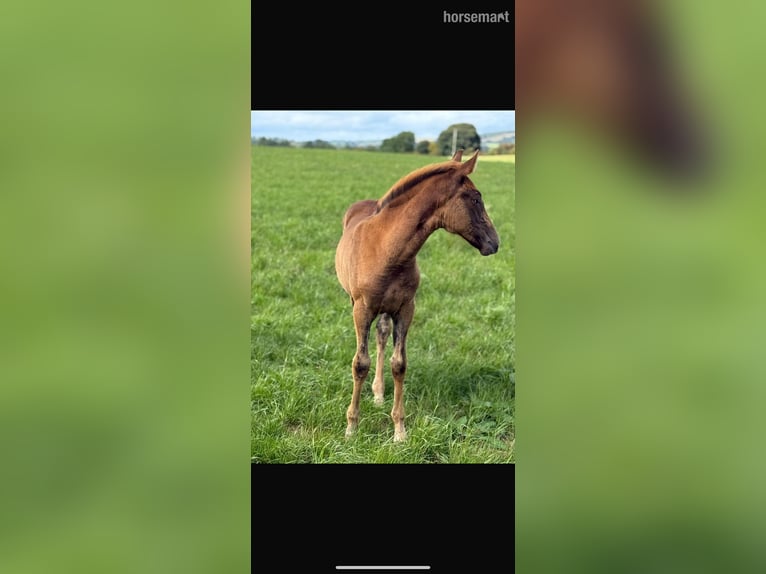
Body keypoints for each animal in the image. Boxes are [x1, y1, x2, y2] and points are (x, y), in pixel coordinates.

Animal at [334, 149, 500, 442]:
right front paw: (351, 428)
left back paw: (379, 393)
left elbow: (399, 364)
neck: (388, 251)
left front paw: (399, 431)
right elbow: (360, 363)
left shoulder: (406, 308)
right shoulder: (362, 309)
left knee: (382, 335)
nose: (495, 242)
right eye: (476, 198)